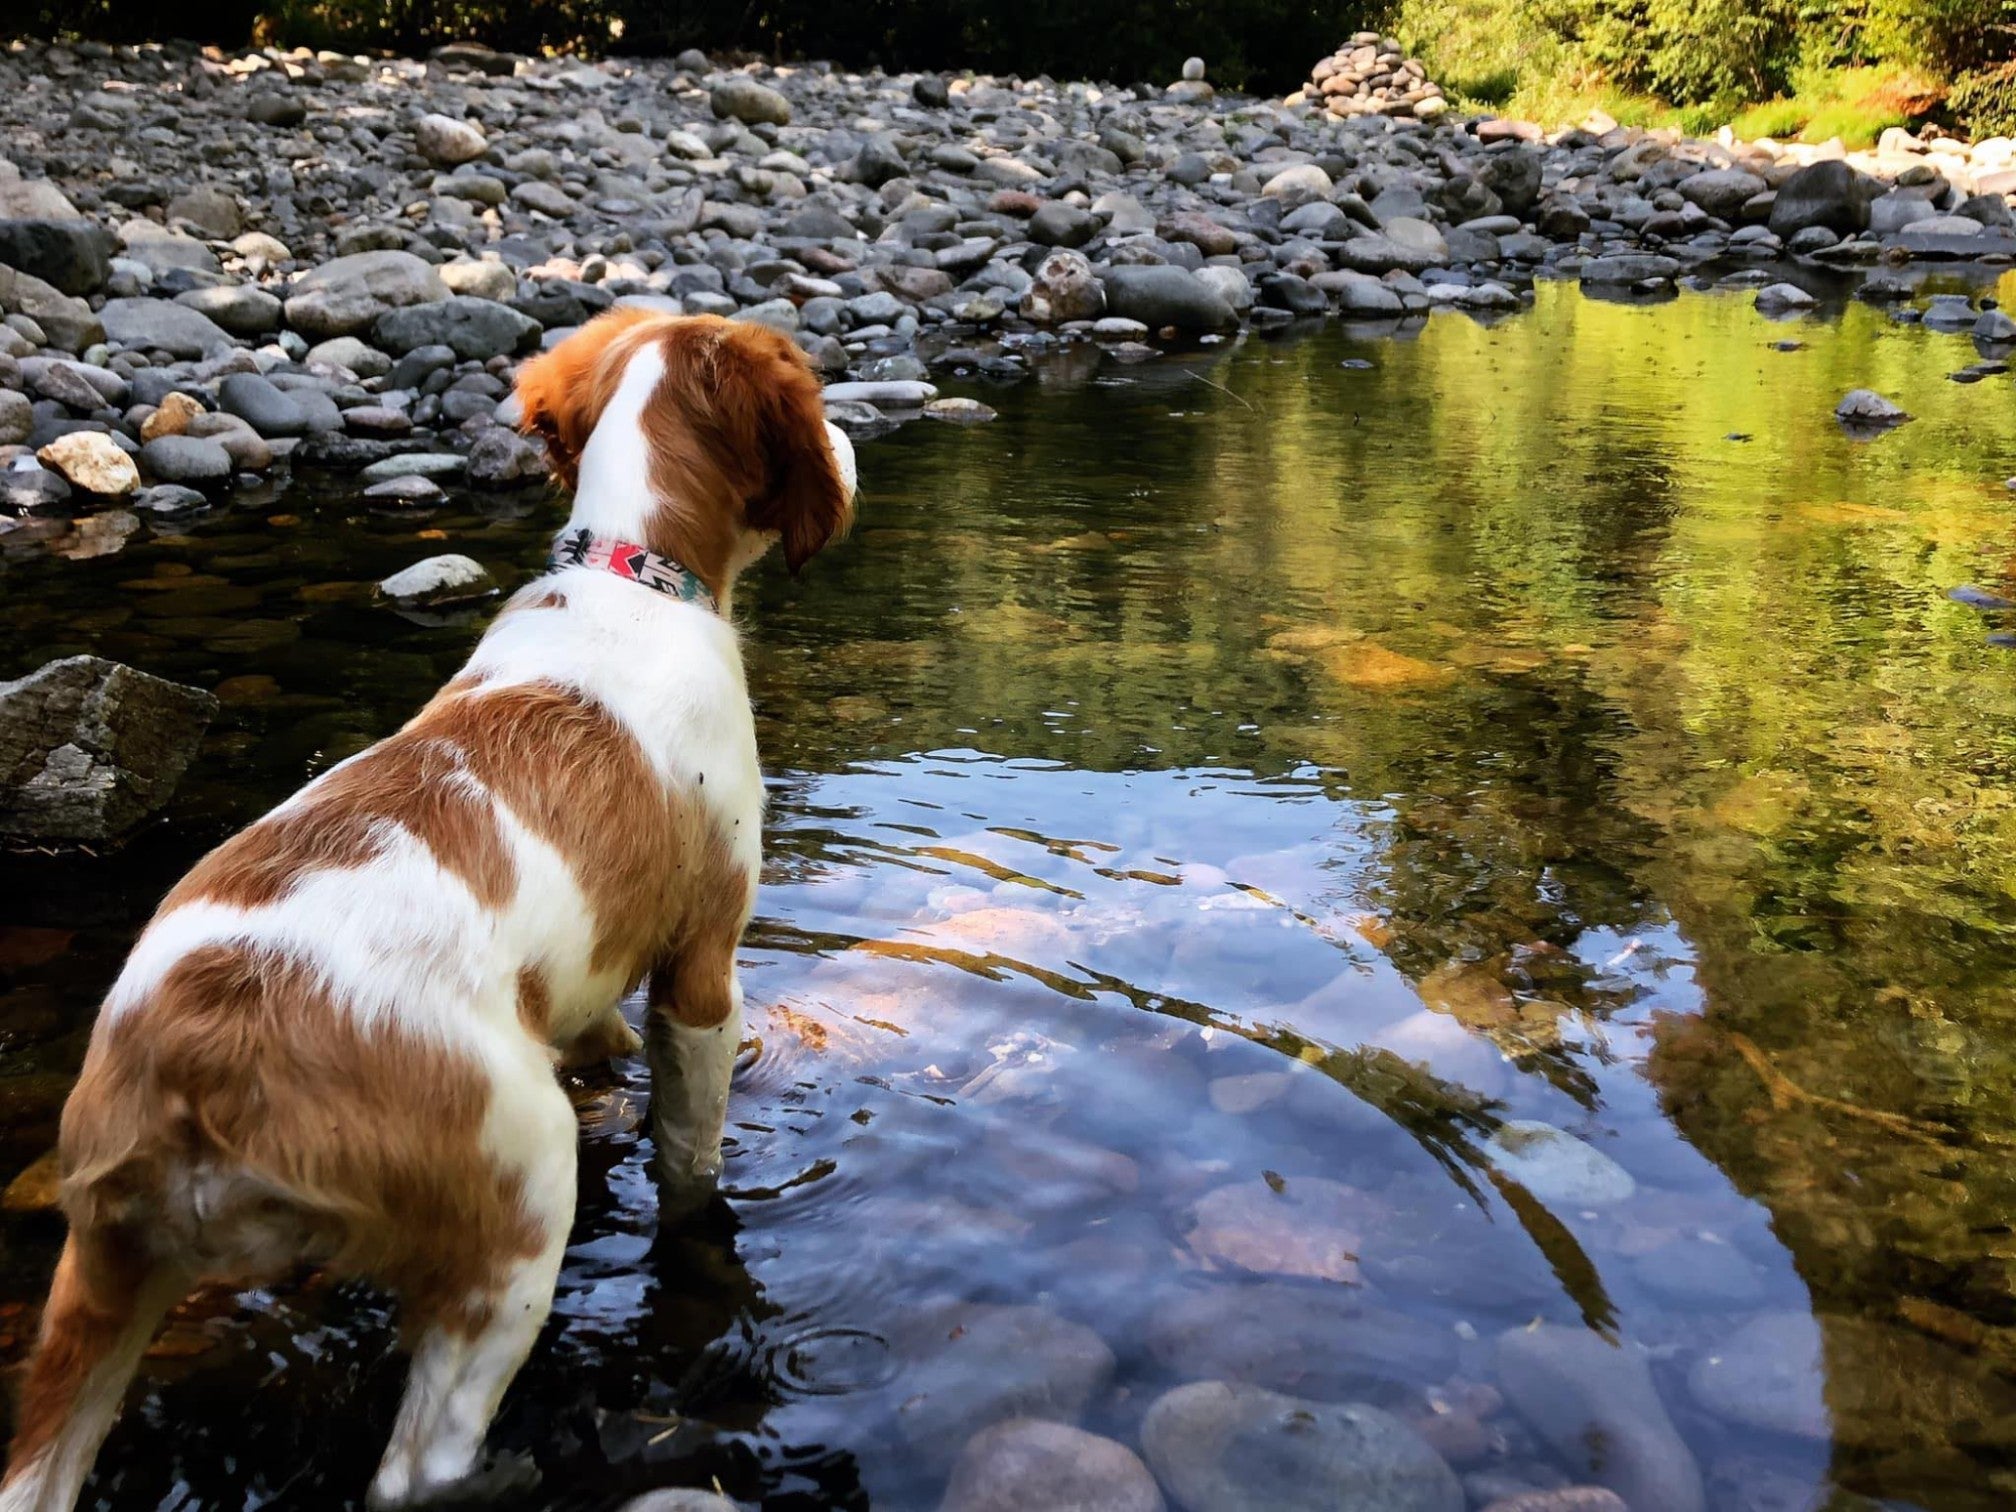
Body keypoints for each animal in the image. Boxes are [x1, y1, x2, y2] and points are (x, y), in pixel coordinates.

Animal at [0, 310, 858, 1512]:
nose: (854, 444)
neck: (632, 573)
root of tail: (203, 1052)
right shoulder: (702, 961)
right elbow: (689, 1141)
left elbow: (599, 1030)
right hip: (517, 1197)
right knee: (416, 1467)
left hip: (105, 1272)